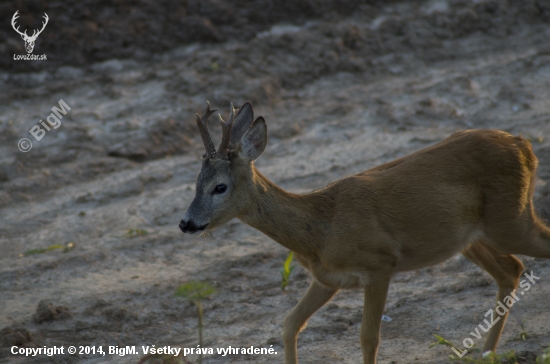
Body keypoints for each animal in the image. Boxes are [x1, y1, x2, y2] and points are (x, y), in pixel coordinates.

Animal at [181, 102, 550, 364]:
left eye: (219, 187)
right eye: (195, 183)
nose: (186, 223)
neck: (320, 229)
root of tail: (524, 145)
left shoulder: (379, 264)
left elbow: (368, 338)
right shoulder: (327, 279)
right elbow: (289, 325)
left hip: (509, 218)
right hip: (469, 238)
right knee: (511, 269)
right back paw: (487, 354)